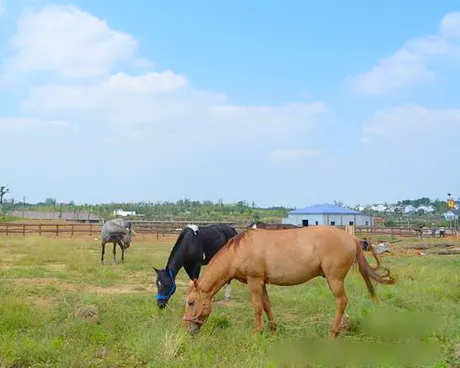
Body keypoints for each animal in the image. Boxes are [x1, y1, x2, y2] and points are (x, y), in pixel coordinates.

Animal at [183, 226, 396, 338]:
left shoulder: (254, 281)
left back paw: (333, 333)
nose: (187, 328)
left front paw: (258, 332)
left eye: (191, 302)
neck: (239, 251)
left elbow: (257, 307)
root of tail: (353, 239)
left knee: (342, 301)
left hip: (334, 280)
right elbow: (267, 305)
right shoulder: (262, 283)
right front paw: (272, 330)